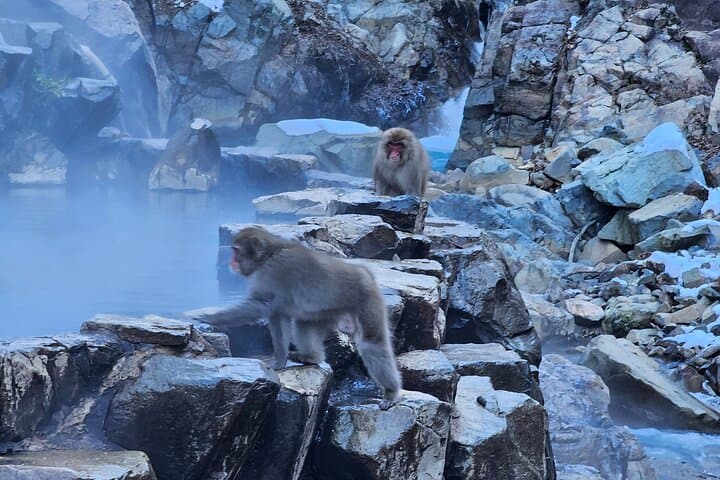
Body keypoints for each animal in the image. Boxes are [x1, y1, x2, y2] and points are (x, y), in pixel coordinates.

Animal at [198, 226, 402, 402]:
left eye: (236, 251)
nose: (231, 262)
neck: (269, 255)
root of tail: (366, 272)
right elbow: (277, 315)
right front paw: (280, 360)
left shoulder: (274, 274)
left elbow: (262, 306)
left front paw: (207, 315)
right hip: (327, 312)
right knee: (303, 325)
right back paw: (312, 357)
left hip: (367, 299)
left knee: (371, 344)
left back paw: (391, 392)